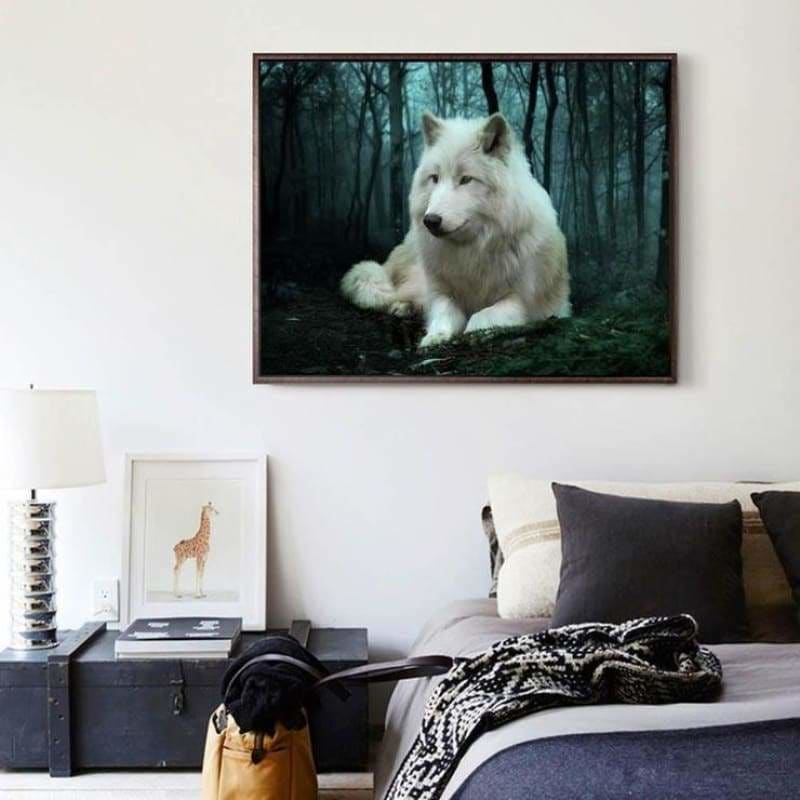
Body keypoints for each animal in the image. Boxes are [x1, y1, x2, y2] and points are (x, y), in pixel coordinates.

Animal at [340, 111, 571, 348]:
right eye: (435, 178)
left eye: (466, 179)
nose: (430, 220)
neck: (472, 251)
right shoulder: (441, 293)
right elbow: (443, 313)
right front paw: (434, 337)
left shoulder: (522, 301)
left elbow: (481, 316)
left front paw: (472, 332)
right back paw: (403, 307)